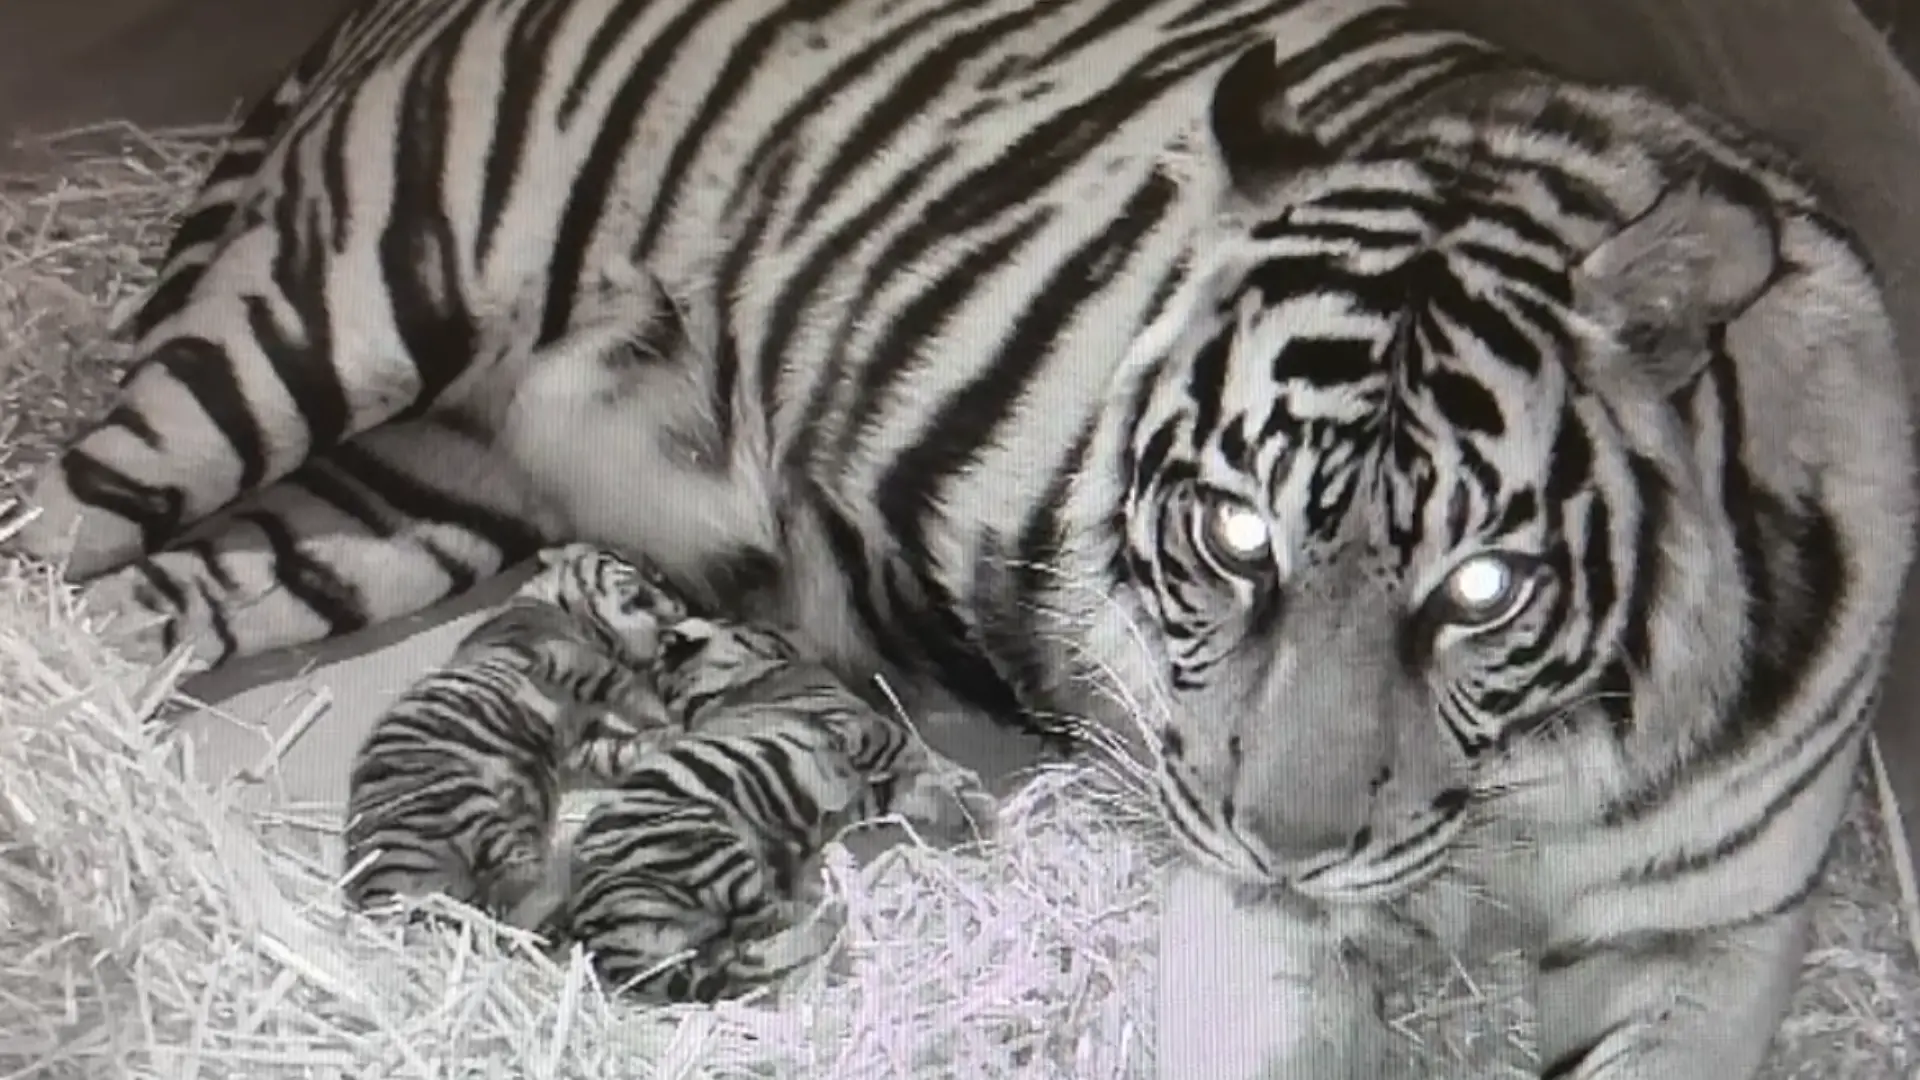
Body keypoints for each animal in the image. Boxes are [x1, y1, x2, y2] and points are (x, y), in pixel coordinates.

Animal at [343, 542, 690, 918]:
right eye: (639, 565)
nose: (682, 603)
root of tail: (374, 889)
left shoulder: (581, 742)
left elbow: (620, 750)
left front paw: (673, 734)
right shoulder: (564, 655)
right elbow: (628, 687)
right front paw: (669, 717)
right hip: (460, 798)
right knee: (524, 872)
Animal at [556, 610, 996, 1003]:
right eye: (754, 626)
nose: (790, 625)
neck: (709, 691)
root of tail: (595, 932)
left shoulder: (854, 795)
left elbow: (912, 789)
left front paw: (972, 811)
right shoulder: (859, 729)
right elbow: (916, 751)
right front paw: (968, 785)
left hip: (704, 932)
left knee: (744, 959)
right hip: (708, 845)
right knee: (767, 917)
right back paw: (828, 914)